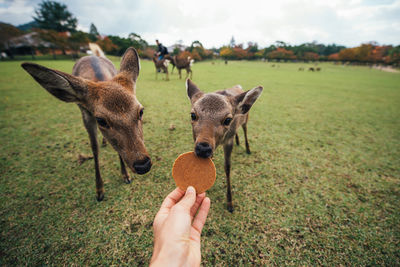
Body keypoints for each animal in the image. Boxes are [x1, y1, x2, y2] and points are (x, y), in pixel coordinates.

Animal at [22, 47, 153, 202]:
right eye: (101, 120)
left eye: (141, 111)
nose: (143, 165)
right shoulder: (86, 114)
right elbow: (94, 148)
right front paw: (99, 191)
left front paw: (125, 176)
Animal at [187, 78, 264, 213]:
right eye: (193, 115)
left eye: (228, 120)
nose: (203, 148)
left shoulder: (228, 141)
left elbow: (227, 167)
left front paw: (230, 203)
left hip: (246, 119)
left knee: (245, 129)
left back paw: (248, 149)